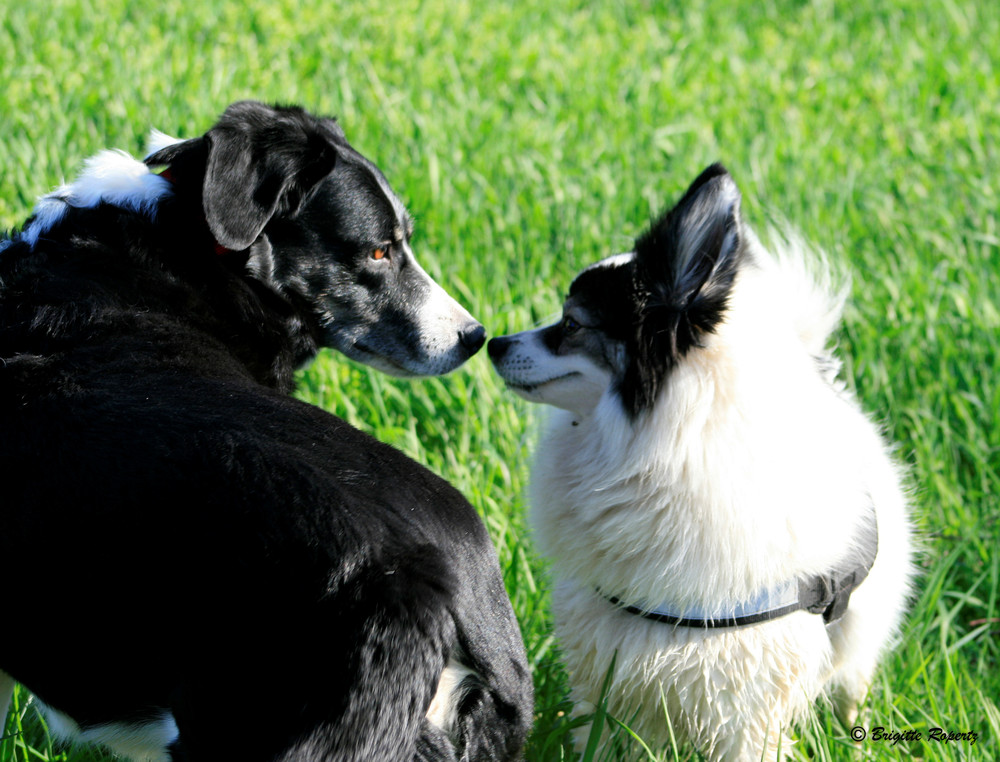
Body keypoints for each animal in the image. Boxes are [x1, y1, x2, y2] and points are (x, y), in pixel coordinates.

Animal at [486, 163, 916, 756]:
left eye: (572, 324)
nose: (493, 343)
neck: (667, 448)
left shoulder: (748, 698)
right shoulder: (607, 661)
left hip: (858, 636)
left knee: (853, 680)